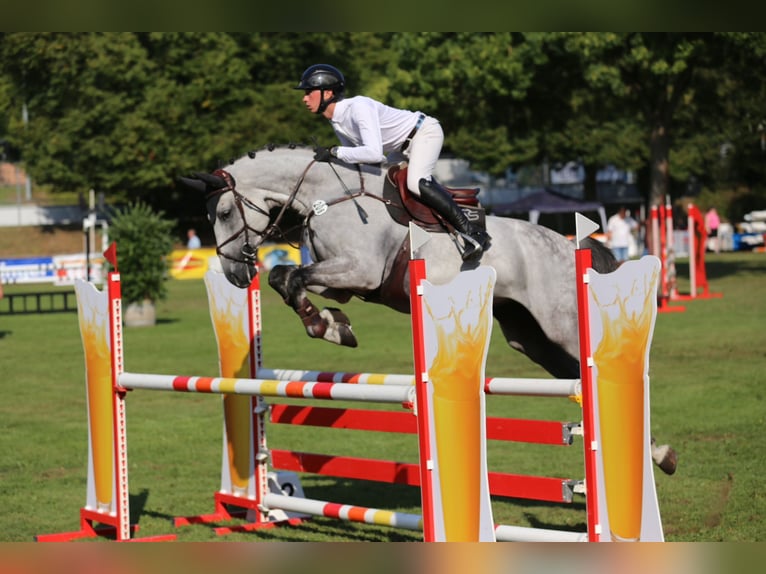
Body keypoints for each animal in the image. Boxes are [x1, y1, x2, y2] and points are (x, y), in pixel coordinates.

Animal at [178, 145, 680, 476]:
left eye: (224, 212)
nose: (234, 275)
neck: (327, 199)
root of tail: (567, 244)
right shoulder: (341, 281)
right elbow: (287, 279)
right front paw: (333, 324)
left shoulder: (359, 271)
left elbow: (292, 279)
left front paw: (328, 326)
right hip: (529, 336)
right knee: (569, 371)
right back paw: (659, 454)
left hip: (562, 325)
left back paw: (653, 452)